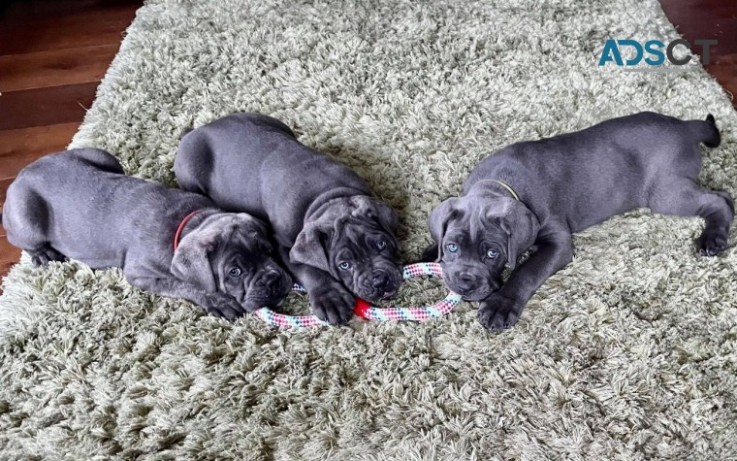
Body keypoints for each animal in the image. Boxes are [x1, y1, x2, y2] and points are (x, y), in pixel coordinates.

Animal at [1, 147, 292, 316]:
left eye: (268, 250)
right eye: (235, 272)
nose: (273, 280)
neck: (190, 222)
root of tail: (24, 172)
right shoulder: (140, 274)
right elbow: (184, 284)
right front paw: (217, 300)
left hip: (101, 156)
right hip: (26, 219)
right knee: (27, 241)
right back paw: (43, 255)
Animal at [173, 113, 402, 326]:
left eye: (382, 244)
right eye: (344, 265)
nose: (379, 281)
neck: (327, 196)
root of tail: (201, 128)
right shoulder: (283, 245)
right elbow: (309, 270)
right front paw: (330, 299)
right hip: (189, 173)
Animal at [428, 112, 732, 330]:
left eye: (493, 254)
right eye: (453, 247)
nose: (464, 284)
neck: (499, 184)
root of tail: (685, 126)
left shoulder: (558, 242)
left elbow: (526, 271)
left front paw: (500, 305)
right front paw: (429, 252)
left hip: (664, 193)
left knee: (720, 200)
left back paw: (713, 239)